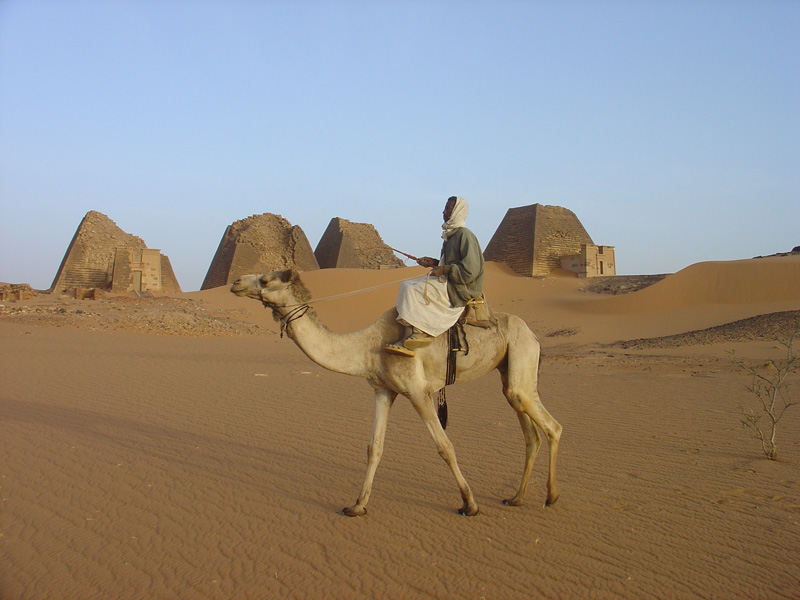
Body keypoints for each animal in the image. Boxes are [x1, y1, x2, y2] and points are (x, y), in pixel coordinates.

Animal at [230, 268, 562, 517]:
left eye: (265, 280)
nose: (235, 282)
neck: (368, 346)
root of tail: (533, 335)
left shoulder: (418, 390)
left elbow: (445, 447)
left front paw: (470, 504)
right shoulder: (383, 391)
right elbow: (374, 448)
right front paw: (357, 505)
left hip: (521, 358)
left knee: (552, 427)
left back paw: (551, 497)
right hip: (510, 372)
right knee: (530, 432)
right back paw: (517, 498)